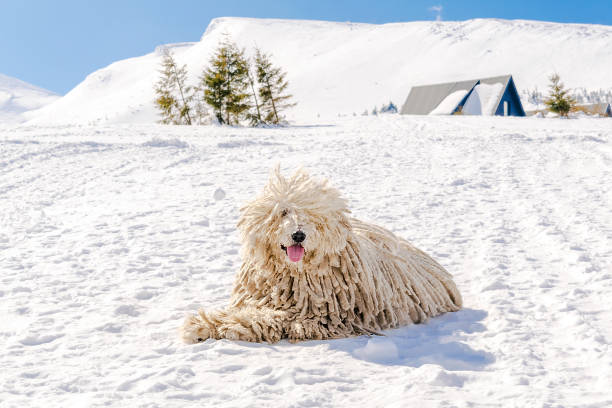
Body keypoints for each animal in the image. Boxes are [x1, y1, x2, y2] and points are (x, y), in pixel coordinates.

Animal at [183, 167, 464, 342]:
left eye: (312, 216)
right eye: (283, 212)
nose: (298, 235)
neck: (295, 274)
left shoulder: (318, 316)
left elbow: (269, 319)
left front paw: (221, 324)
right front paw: (202, 325)